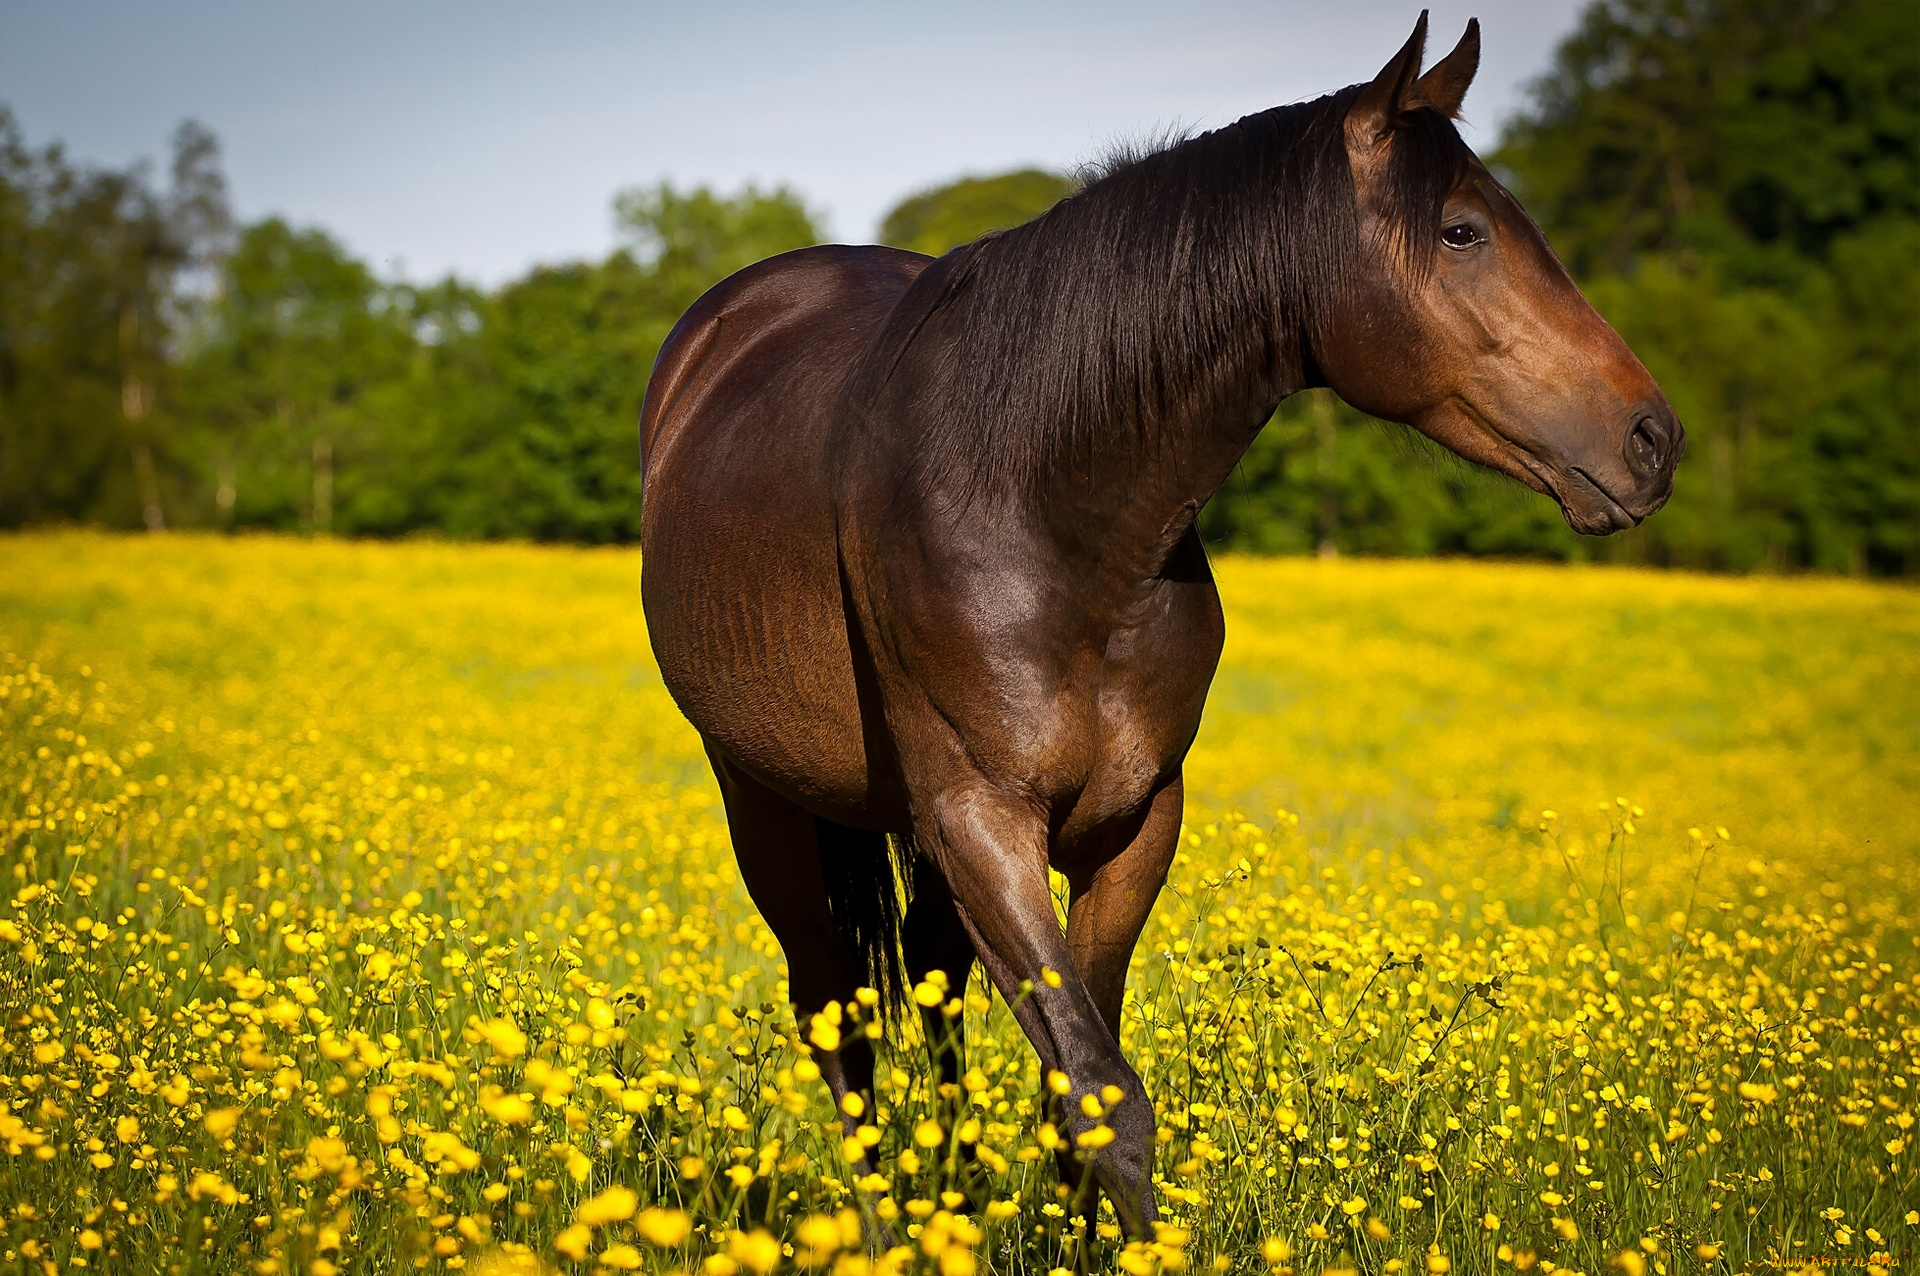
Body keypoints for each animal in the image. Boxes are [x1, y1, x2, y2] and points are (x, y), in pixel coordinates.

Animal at [633, 7, 1681, 1228]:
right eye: (1461, 232)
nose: (1654, 439)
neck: (1046, 506)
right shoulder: (982, 820)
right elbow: (1101, 1093)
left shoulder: (1134, 823)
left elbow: (1074, 1089)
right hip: (763, 799)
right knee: (831, 1005)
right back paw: (886, 1216)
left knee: (932, 993)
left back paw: (945, 1198)